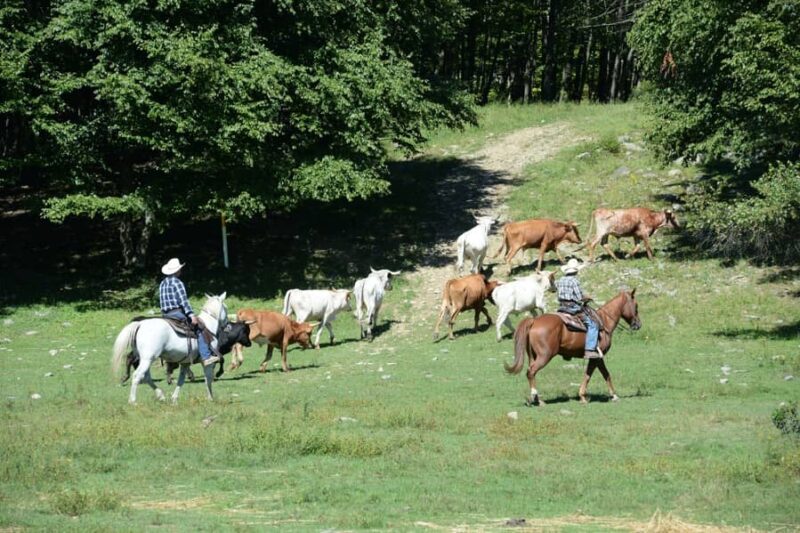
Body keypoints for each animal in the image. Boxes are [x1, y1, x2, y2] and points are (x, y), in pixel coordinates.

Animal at [506, 288, 644, 406]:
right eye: (636, 306)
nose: (638, 325)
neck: (604, 321)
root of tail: (534, 321)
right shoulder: (597, 356)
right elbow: (599, 374)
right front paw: (612, 396)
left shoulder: (596, 358)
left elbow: (596, 374)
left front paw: (584, 396)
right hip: (544, 356)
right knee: (531, 372)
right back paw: (537, 399)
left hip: (533, 355)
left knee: (531, 373)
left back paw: (536, 399)